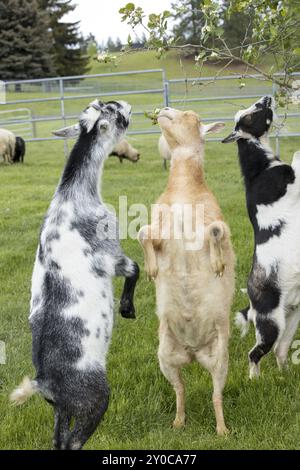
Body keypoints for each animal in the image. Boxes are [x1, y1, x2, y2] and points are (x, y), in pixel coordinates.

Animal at [10, 98, 139, 448]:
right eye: (113, 110)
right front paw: (127, 309)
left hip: (62, 409)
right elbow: (135, 269)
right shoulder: (111, 254)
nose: (126, 103)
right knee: (72, 442)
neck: (73, 194)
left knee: (59, 440)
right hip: (92, 399)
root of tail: (43, 382)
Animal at [138, 107, 234, 436]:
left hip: (220, 358)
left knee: (217, 395)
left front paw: (217, 265)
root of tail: (193, 351)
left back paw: (222, 430)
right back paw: (178, 421)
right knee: (180, 389)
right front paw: (152, 270)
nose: (164, 110)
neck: (182, 193)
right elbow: (143, 232)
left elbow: (216, 230)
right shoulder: (160, 232)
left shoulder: (215, 225)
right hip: (165, 356)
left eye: (191, 115)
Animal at [221, 95, 300, 378]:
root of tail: (252, 306)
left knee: (280, 351)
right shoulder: (290, 180)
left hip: (291, 319)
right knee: (254, 353)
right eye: (251, 114)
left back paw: (285, 373)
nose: (267, 98)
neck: (260, 169)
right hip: (270, 325)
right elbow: (297, 158)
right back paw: (254, 379)